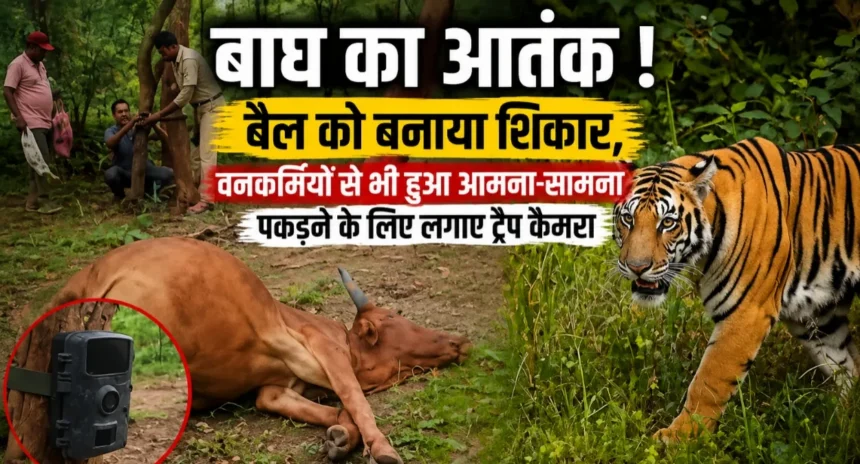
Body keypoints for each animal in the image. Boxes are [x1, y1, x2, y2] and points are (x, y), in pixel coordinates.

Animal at [43, 236, 473, 464]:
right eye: (395, 318)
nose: (459, 341)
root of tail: (93, 274)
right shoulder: (323, 351)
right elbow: (355, 401)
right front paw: (382, 449)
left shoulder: (276, 390)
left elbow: (335, 410)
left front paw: (338, 439)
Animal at [612, 136, 860, 443]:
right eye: (628, 219)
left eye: (667, 222)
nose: (636, 267)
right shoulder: (807, 311)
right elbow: (844, 365)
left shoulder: (747, 313)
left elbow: (709, 380)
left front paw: (681, 438)